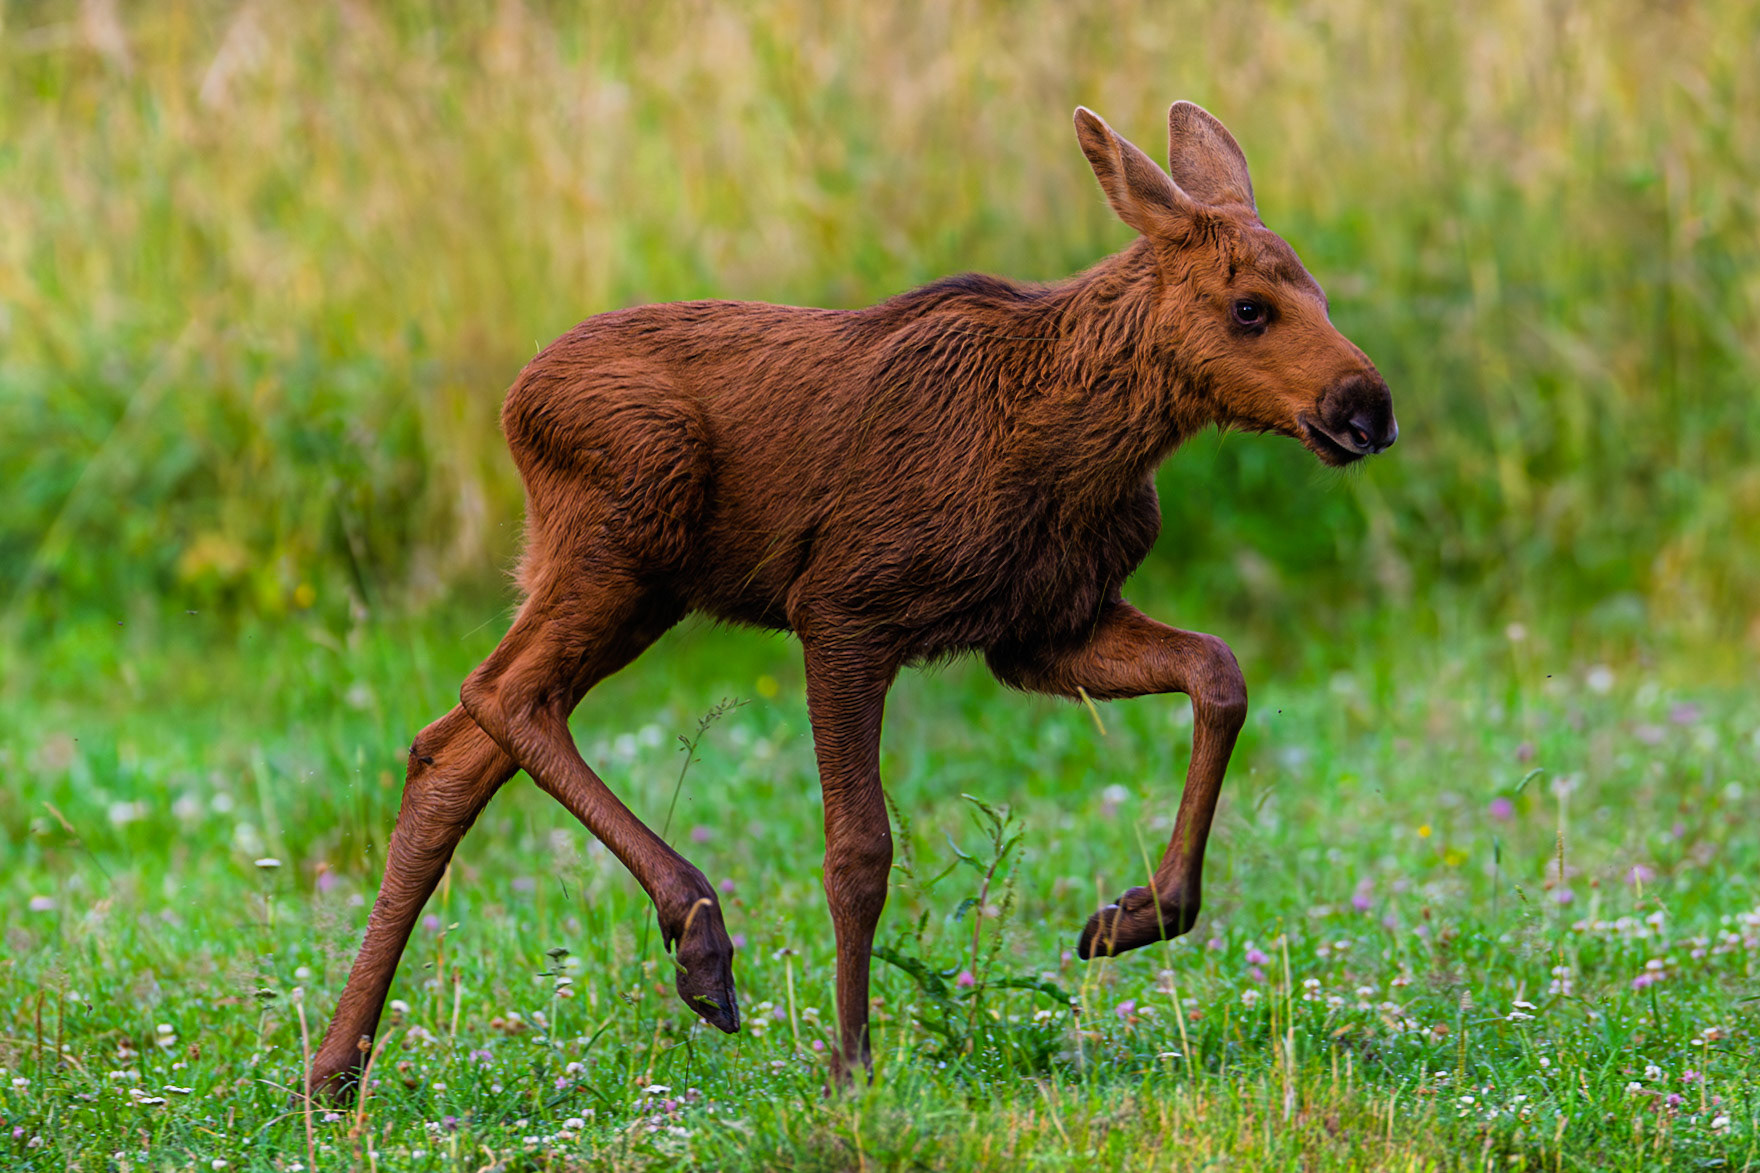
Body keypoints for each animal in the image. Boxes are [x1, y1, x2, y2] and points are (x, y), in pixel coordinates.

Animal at [307, 100, 1396, 1098]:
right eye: (1249, 307)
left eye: (1318, 293)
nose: (1366, 409)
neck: (1081, 443)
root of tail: (513, 402)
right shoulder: (844, 609)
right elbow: (859, 848)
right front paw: (849, 1061)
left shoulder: (1042, 629)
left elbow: (1220, 670)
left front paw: (1135, 915)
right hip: (626, 540)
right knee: (501, 695)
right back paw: (698, 943)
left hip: (618, 580)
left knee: (451, 747)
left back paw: (334, 1066)